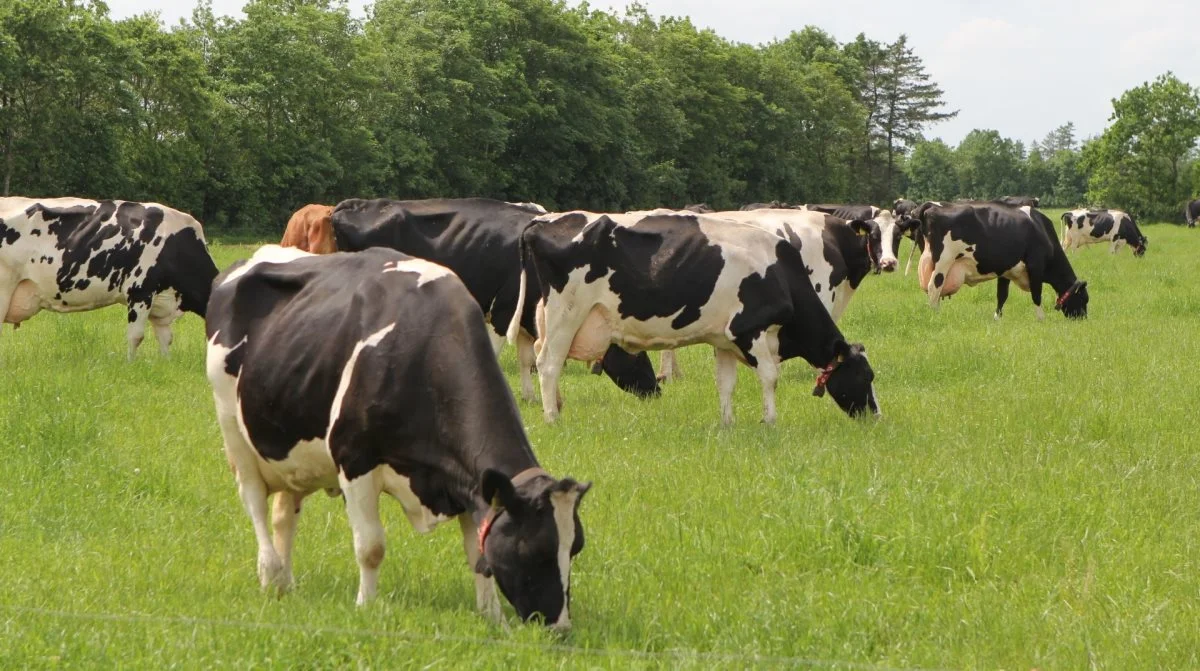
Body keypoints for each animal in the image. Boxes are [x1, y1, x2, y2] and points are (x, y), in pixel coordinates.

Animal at [0, 196, 218, 360]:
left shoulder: (162, 302)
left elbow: (165, 338)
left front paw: (165, 363)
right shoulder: (140, 291)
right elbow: (136, 336)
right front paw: (131, 364)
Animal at [211, 247, 595, 628]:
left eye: (576, 546)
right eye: (534, 548)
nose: (560, 627)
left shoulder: (468, 482)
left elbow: (477, 553)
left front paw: (492, 616)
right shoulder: (354, 460)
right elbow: (371, 547)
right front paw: (366, 605)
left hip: (291, 449)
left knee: (284, 514)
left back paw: (285, 583)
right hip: (234, 431)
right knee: (255, 501)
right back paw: (270, 572)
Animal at [328, 196, 662, 400]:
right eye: (636, 353)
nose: (655, 389)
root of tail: (349, 205)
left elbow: (527, 358)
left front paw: (528, 396)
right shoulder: (503, 312)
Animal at [506, 210, 883, 424]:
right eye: (866, 376)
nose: (875, 417)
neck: (780, 273)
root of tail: (544, 222)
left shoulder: (725, 340)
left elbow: (725, 383)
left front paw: (728, 423)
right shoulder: (750, 330)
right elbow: (770, 378)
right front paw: (771, 422)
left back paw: (556, 406)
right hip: (566, 313)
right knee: (548, 363)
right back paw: (552, 417)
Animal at [912, 201, 1094, 319]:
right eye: (1084, 299)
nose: (1082, 319)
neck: (1041, 229)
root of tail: (932, 206)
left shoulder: (1006, 271)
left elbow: (1002, 296)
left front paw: (997, 318)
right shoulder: (1036, 266)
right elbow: (1037, 295)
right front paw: (1041, 319)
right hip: (943, 262)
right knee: (933, 288)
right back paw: (936, 316)